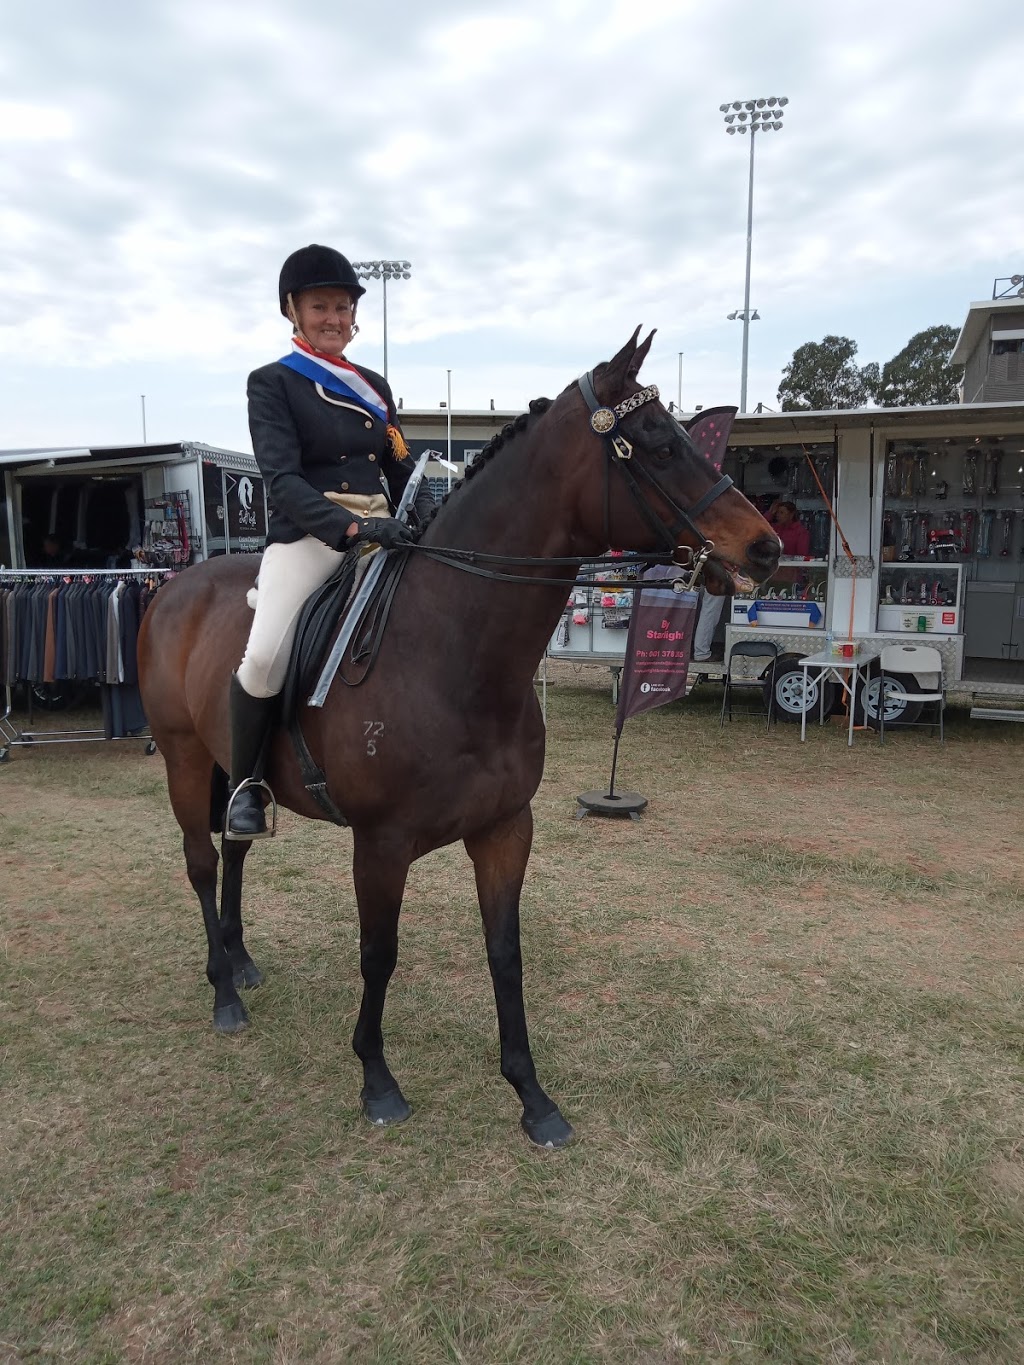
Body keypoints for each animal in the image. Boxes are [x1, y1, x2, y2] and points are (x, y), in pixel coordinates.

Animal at [136, 327, 775, 1141]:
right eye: (659, 444)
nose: (764, 548)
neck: (454, 653)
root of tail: (174, 587)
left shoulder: (505, 827)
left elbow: (505, 952)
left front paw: (532, 1095)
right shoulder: (380, 845)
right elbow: (379, 954)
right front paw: (377, 1080)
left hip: (234, 768)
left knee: (236, 843)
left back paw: (242, 958)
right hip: (185, 760)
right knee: (201, 860)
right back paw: (224, 991)